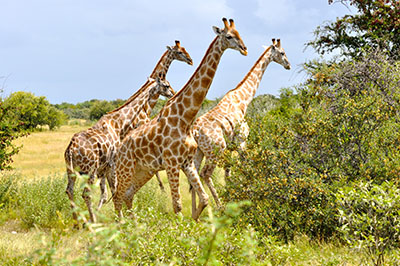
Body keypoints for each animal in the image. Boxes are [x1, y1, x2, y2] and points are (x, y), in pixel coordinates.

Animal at [64, 41, 192, 224]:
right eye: (180, 51)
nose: (173, 93)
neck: (119, 122)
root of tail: (71, 149)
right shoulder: (113, 162)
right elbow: (115, 189)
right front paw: (121, 218)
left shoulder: (109, 164)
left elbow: (110, 191)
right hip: (90, 169)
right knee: (86, 193)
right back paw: (92, 221)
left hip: (72, 170)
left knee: (70, 190)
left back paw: (77, 222)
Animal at [111, 17, 247, 220]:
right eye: (229, 36)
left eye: (240, 34)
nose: (245, 49)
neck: (185, 118)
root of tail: (120, 146)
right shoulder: (172, 163)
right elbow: (177, 206)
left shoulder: (187, 162)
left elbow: (204, 198)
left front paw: (196, 219)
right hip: (126, 168)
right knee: (117, 197)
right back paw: (121, 225)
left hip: (144, 170)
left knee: (127, 195)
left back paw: (133, 223)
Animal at [191, 38, 290, 208]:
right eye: (282, 52)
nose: (288, 65)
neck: (243, 101)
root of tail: (195, 131)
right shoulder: (242, 141)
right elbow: (245, 167)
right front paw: (248, 197)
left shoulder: (231, 146)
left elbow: (228, 174)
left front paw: (234, 197)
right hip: (216, 150)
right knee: (205, 173)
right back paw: (219, 206)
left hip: (200, 151)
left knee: (195, 175)